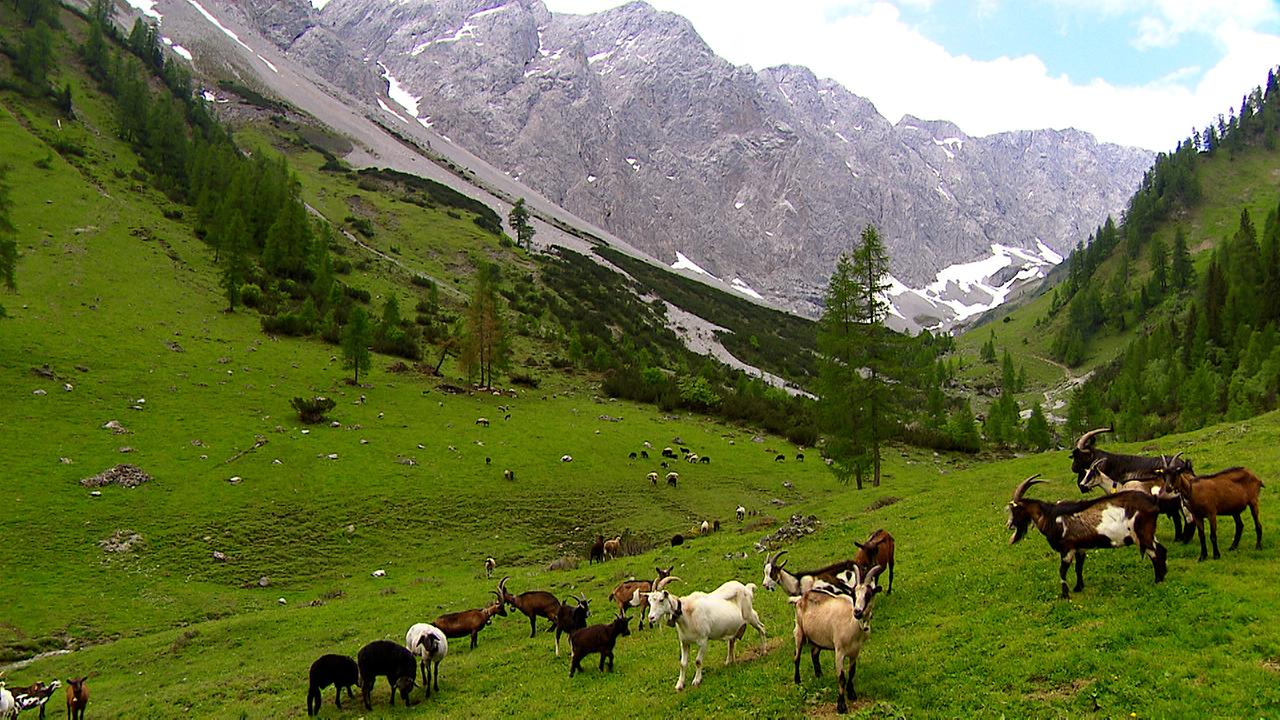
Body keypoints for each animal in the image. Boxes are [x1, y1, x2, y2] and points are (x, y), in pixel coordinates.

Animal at [788, 566, 880, 712]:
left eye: (868, 594)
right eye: (853, 594)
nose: (857, 612)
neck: (852, 623)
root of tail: (801, 598)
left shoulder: (855, 651)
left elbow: (852, 672)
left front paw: (852, 694)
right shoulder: (839, 651)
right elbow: (841, 677)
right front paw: (841, 706)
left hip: (818, 636)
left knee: (814, 654)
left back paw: (819, 675)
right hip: (799, 630)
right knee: (797, 657)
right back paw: (797, 681)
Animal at [1008, 474, 1172, 597]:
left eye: (1015, 511)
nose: (1009, 525)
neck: (1049, 516)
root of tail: (1153, 501)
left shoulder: (1067, 548)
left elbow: (1062, 571)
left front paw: (1065, 595)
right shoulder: (1080, 547)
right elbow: (1078, 567)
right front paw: (1078, 588)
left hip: (1143, 534)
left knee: (1155, 553)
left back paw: (1157, 580)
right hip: (1150, 533)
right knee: (1162, 550)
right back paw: (1163, 577)